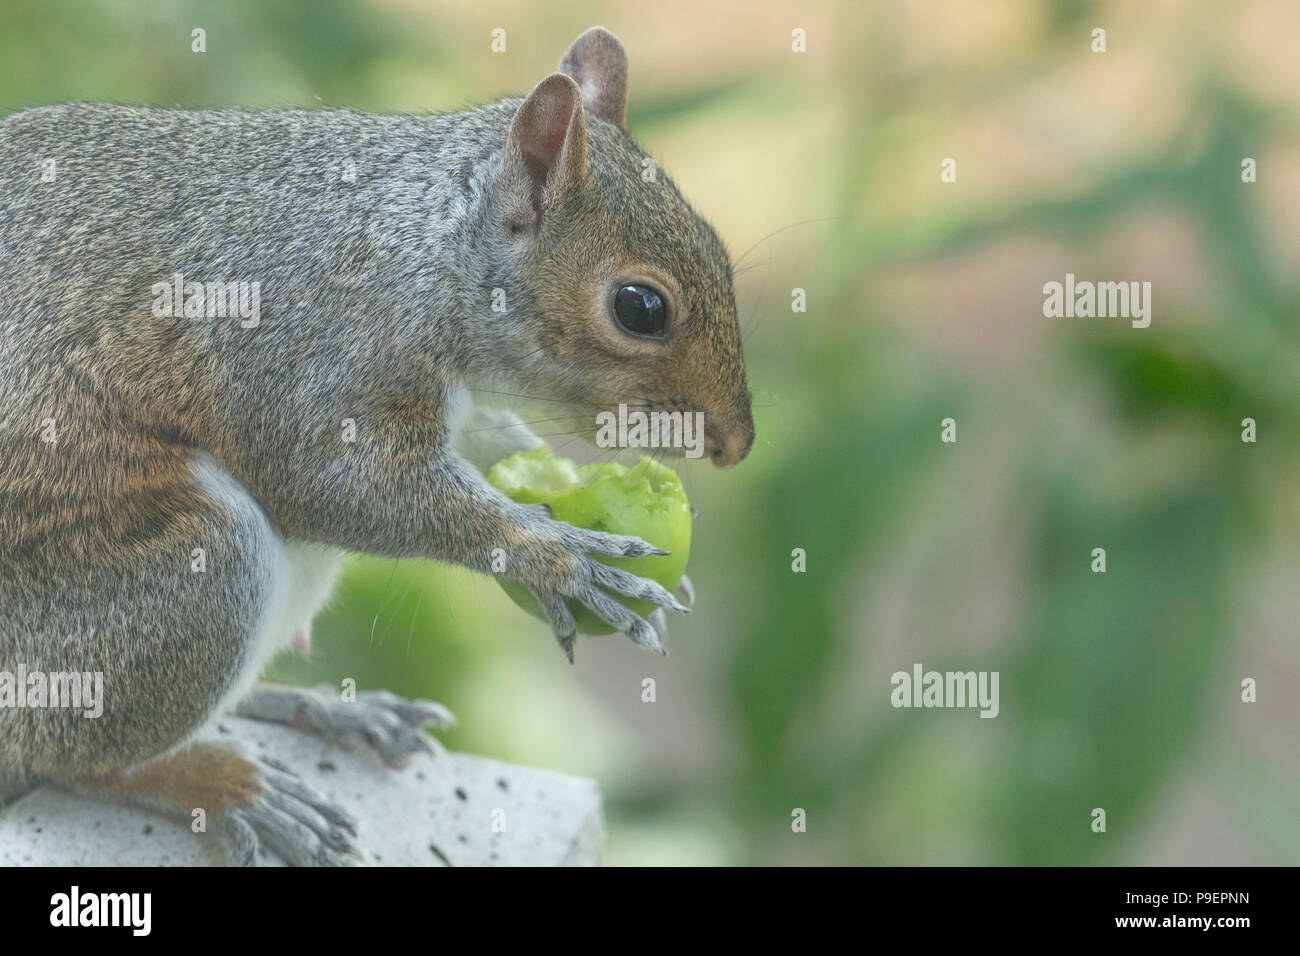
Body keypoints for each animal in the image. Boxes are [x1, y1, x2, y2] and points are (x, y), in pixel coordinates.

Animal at [0, 27, 753, 864]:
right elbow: (338, 484)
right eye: (639, 307)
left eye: (719, 249)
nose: (738, 443)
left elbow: (490, 443)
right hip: (173, 586)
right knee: (73, 758)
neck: (424, 247)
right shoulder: (313, 355)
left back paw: (333, 711)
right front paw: (557, 557)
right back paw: (227, 784)